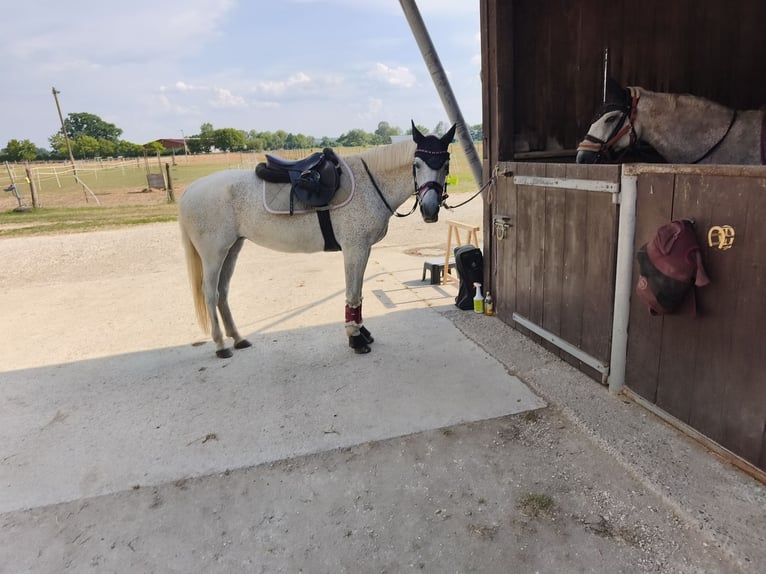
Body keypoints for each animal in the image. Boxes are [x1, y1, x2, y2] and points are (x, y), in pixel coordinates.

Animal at [179, 122, 456, 358]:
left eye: (445, 164)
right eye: (417, 164)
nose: (430, 210)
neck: (370, 183)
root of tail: (190, 190)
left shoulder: (363, 249)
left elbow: (358, 293)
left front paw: (361, 332)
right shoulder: (355, 249)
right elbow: (352, 292)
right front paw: (356, 339)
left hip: (232, 249)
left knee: (223, 293)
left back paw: (237, 338)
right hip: (213, 254)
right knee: (211, 293)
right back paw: (221, 345)